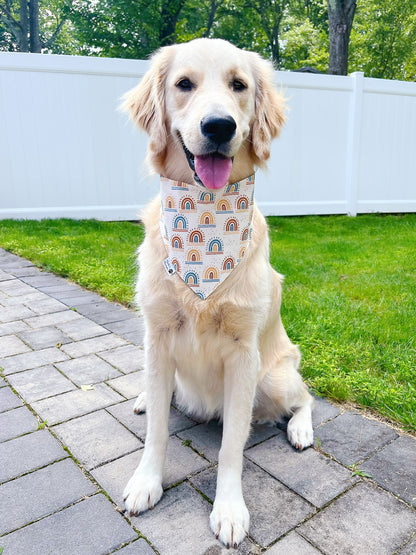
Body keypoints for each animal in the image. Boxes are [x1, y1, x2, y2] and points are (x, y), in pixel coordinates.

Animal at [120, 38, 312, 548]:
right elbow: (157, 430)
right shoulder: (158, 336)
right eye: (184, 84)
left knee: (305, 397)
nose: (219, 125)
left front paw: (228, 510)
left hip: (274, 376)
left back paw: (301, 429)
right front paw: (146, 482)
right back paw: (145, 397)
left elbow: (231, 448)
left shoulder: (243, 354)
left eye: (239, 85)